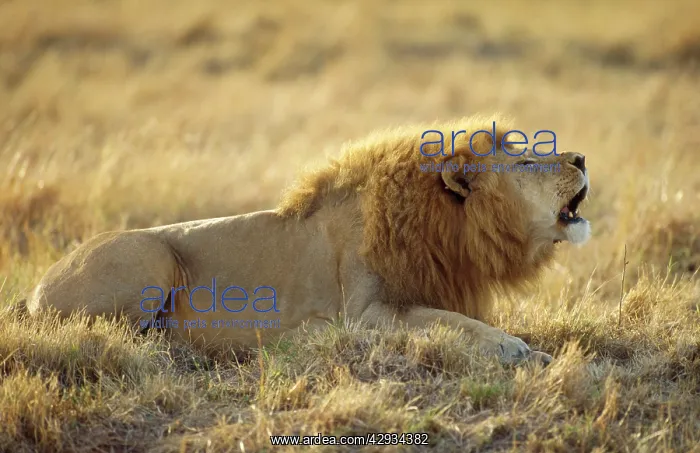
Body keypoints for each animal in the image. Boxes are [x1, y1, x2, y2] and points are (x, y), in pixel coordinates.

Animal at [25, 115, 590, 366]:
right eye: (526, 161)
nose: (582, 157)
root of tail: (32, 292)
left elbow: (455, 318)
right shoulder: (366, 314)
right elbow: (451, 324)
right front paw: (518, 349)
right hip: (148, 257)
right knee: (115, 337)